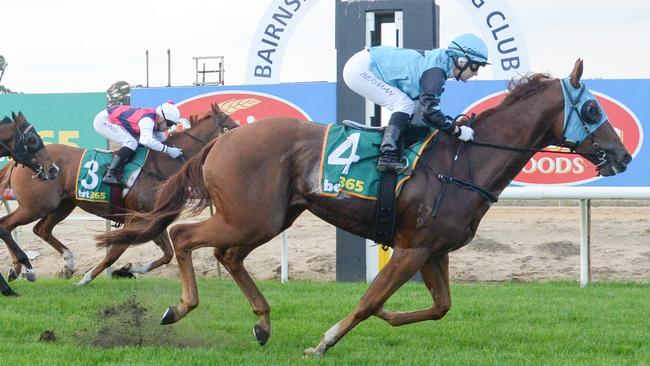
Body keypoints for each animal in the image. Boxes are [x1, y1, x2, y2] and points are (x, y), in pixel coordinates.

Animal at [96, 61, 628, 356]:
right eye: (592, 110)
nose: (621, 155)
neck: (465, 160)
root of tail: (222, 141)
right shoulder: (414, 249)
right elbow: (370, 300)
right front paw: (325, 341)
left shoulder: (432, 249)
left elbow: (440, 307)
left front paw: (392, 318)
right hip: (251, 217)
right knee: (185, 238)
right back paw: (179, 306)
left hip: (267, 217)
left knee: (228, 256)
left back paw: (262, 321)